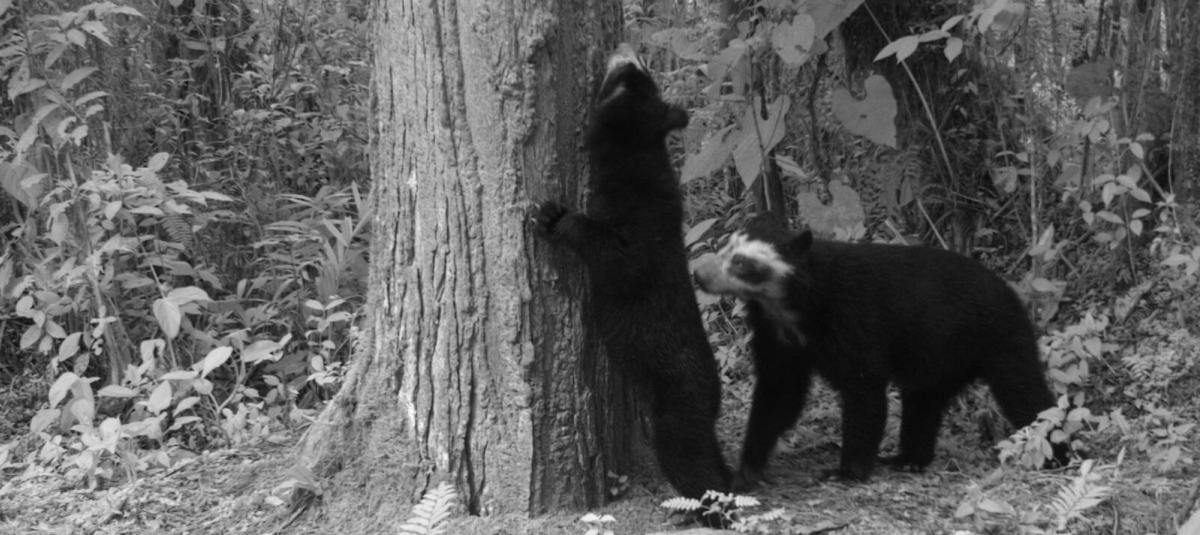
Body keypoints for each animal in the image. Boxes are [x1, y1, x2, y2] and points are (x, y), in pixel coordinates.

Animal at [533, 45, 732, 505]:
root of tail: (713, 396)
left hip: (676, 411)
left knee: (693, 463)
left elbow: (620, 262)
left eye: (628, 81)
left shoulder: (642, 227)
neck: (635, 159)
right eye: (639, 75)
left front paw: (553, 217)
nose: (626, 50)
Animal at [691, 216, 1064, 487]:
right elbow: (779, 394)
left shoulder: (855, 319)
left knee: (1026, 393)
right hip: (936, 358)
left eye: (741, 263)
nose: (698, 274)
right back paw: (909, 459)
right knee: (922, 403)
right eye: (724, 247)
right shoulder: (776, 335)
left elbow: (864, 391)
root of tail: (1012, 291)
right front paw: (748, 468)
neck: (792, 306)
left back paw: (1055, 456)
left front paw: (845, 471)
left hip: (1001, 338)